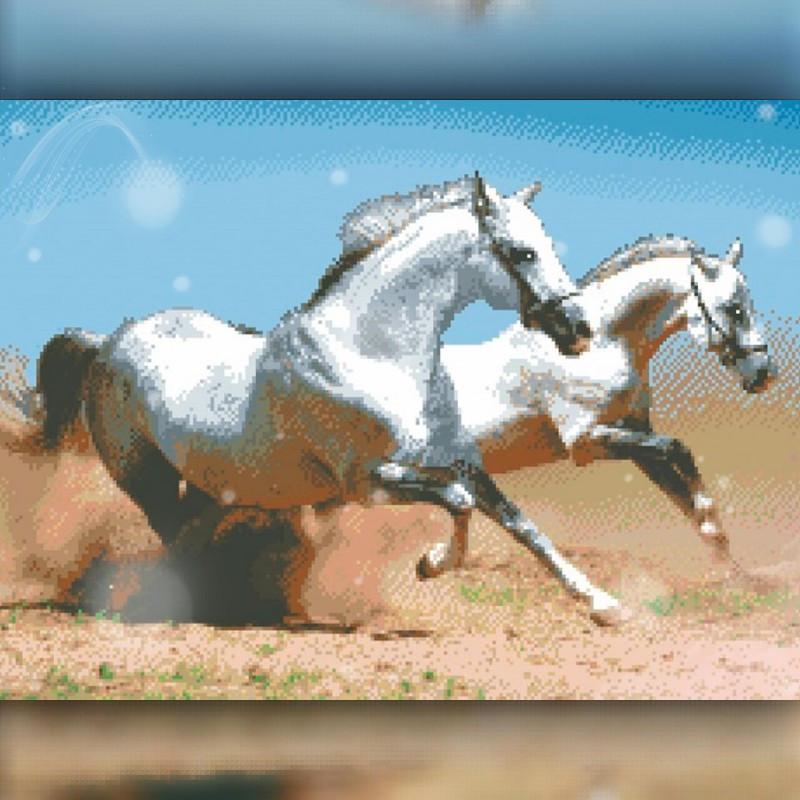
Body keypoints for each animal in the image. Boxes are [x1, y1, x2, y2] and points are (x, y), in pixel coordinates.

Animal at [35, 173, 618, 618]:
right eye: (523, 252)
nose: (579, 329)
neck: (373, 353)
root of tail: (108, 342)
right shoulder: (366, 480)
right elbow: (459, 500)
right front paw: (431, 564)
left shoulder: (458, 460)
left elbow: (519, 521)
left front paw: (603, 605)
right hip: (146, 478)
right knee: (171, 536)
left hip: (208, 484)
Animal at [421, 234, 777, 616]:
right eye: (734, 308)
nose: (764, 374)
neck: (602, 345)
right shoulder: (587, 442)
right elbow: (678, 449)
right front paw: (712, 522)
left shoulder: (637, 436)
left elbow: (683, 491)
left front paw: (738, 578)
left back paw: (430, 563)